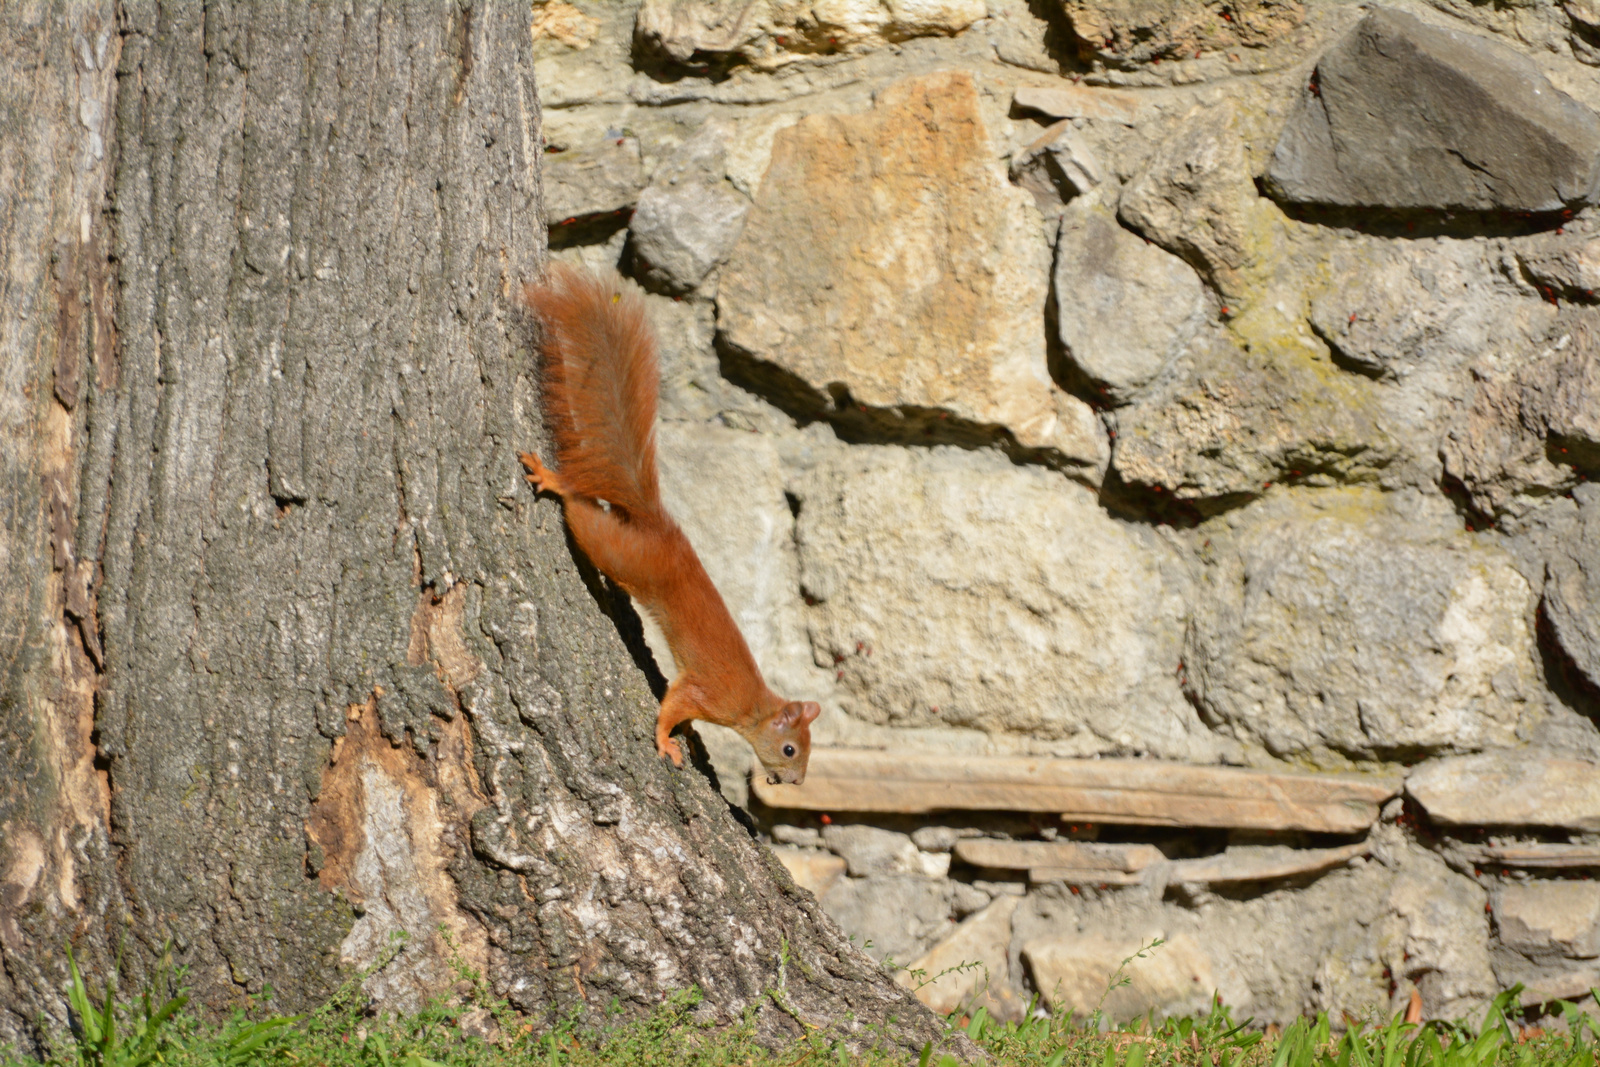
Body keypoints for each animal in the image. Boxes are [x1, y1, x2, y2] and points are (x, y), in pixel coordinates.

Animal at [521, 265, 825, 783]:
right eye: (789, 749)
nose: (796, 782)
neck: (754, 707)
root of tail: (660, 526)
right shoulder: (708, 694)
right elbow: (673, 706)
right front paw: (667, 740)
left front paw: (680, 736)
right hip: (621, 551)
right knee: (581, 509)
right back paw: (555, 481)